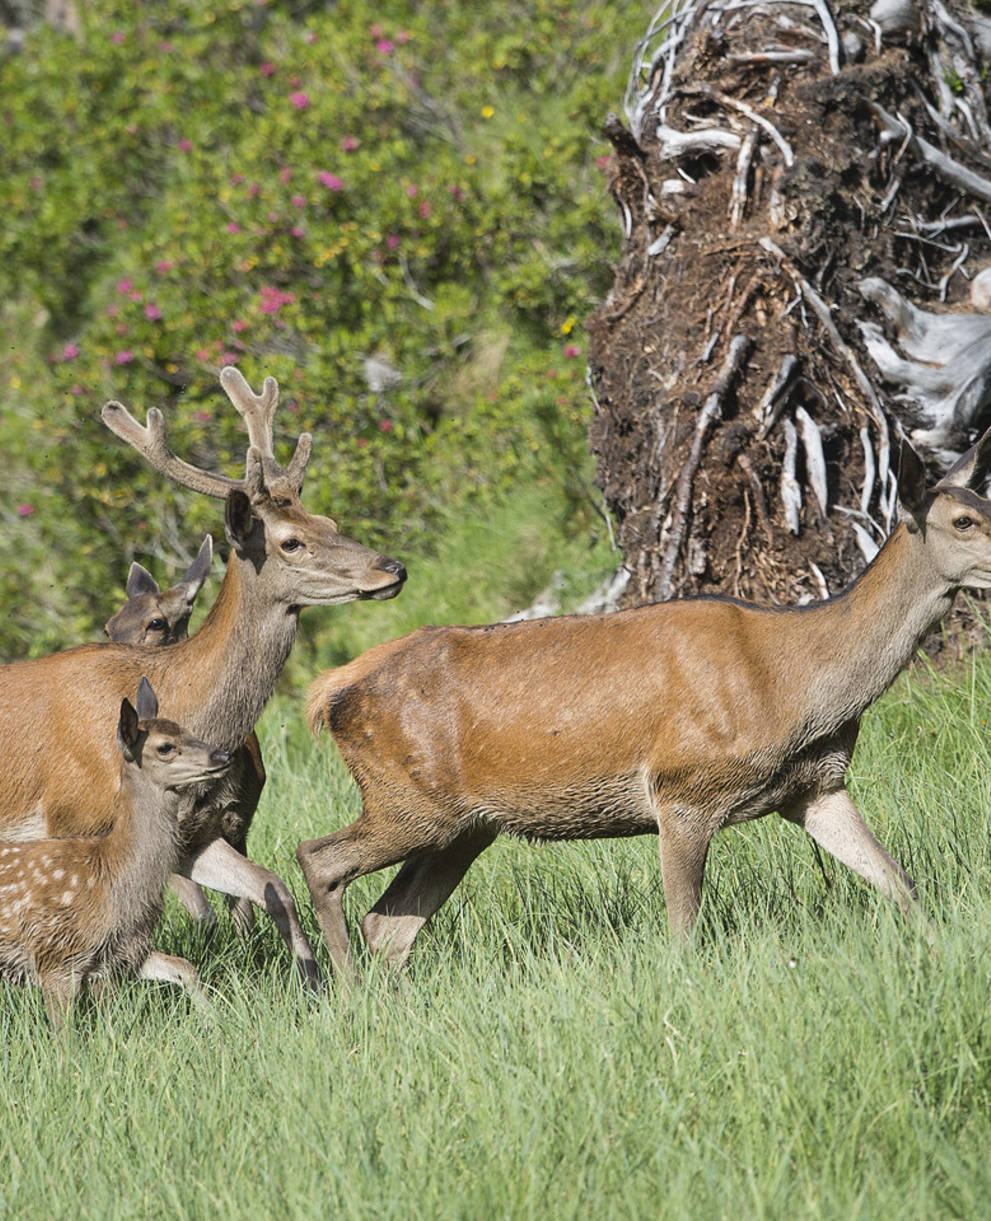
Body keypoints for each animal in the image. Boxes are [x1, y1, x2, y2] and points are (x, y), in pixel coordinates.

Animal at [0, 678, 230, 1030]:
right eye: (165, 747)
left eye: (188, 730)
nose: (222, 754)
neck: (111, 873)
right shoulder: (57, 956)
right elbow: (64, 1035)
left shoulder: (121, 953)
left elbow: (182, 967)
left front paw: (215, 1021)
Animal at [297, 434, 991, 976]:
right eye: (963, 520)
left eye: (982, 503)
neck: (796, 687)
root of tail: (328, 691)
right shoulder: (684, 789)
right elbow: (684, 933)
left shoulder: (816, 787)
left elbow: (900, 883)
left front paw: (945, 954)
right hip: (409, 802)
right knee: (319, 859)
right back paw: (344, 995)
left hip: (464, 826)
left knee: (388, 925)